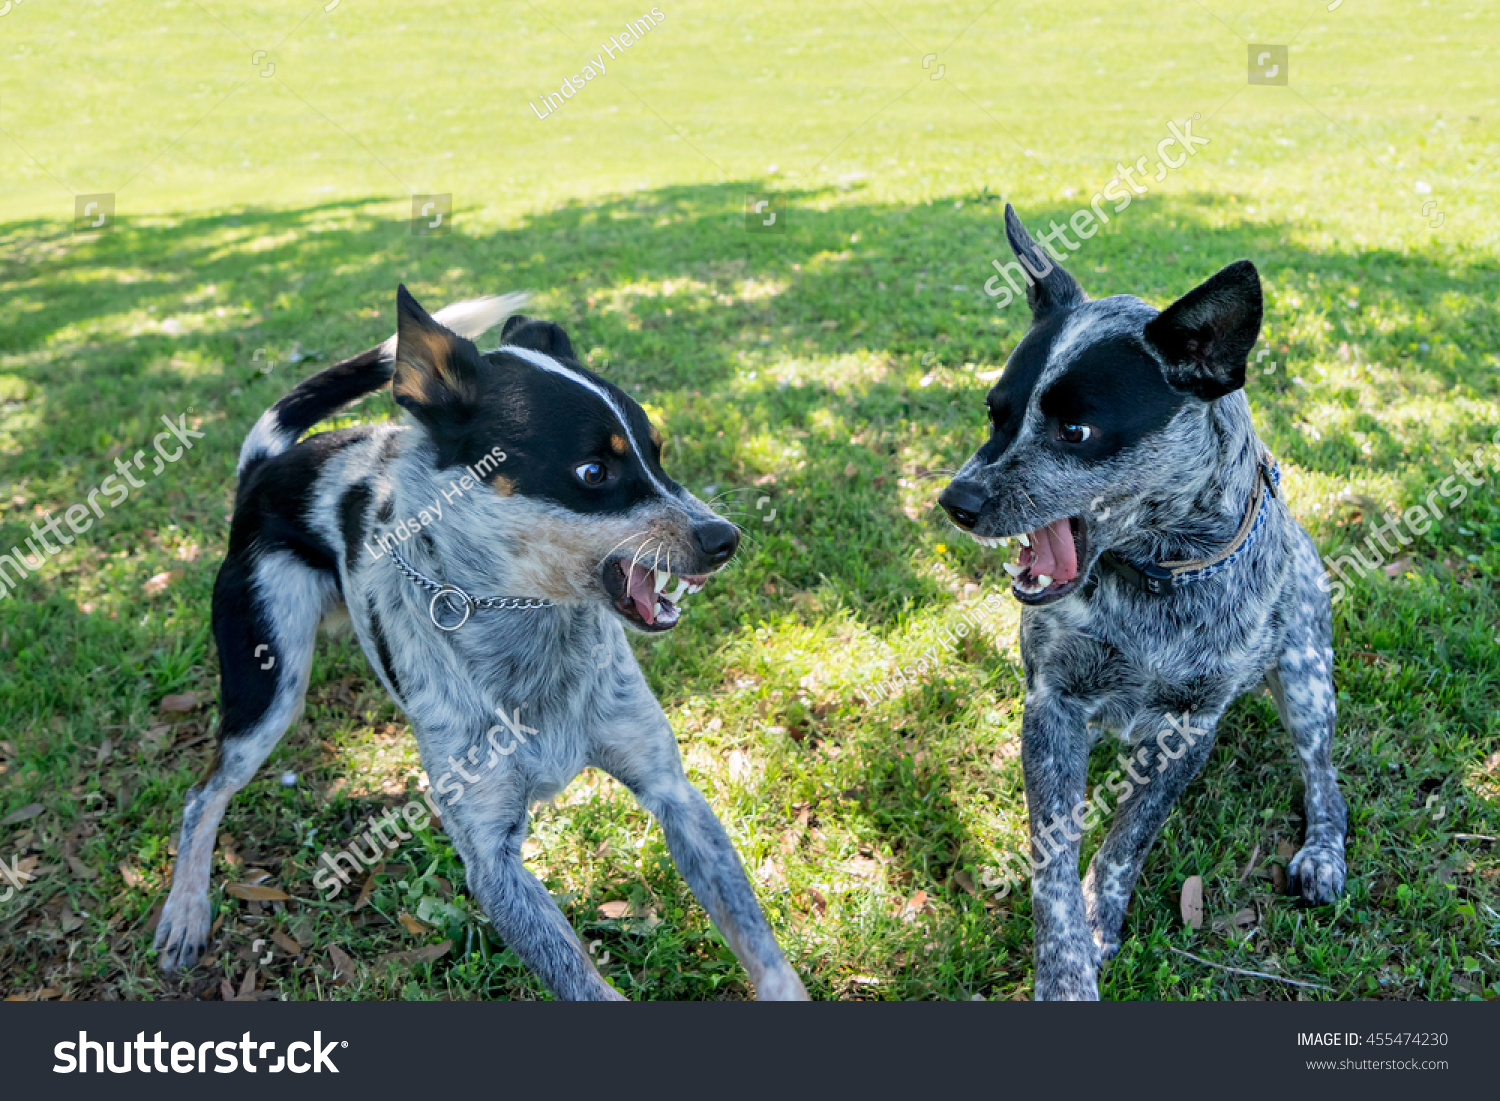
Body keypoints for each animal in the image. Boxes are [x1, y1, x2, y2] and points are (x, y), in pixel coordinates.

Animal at [153, 285, 810, 1002]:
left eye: (658, 451)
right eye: (593, 470)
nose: (725, 538)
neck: (529, 623)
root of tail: (265, 468)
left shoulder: (672, 791)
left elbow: (757, 939)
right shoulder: (493, 859)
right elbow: (583, 982)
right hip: (267, 689)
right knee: (203, 795)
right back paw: (185, 910)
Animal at [936, 205, 1350, 1002]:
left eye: (1076, 430)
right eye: (995, 413)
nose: (957, 501)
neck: (1155, 576)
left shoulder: (1189, 727)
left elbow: (1128, 838)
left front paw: (1102, 917)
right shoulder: (1053, 703)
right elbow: (1054, 857)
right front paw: (1064, 968)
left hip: (1307, 677)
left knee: (1324, 776)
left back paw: (1323, 852)